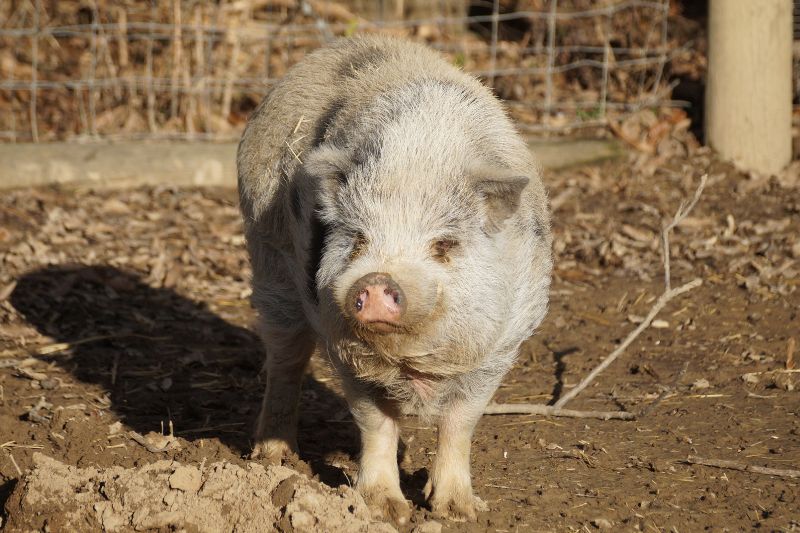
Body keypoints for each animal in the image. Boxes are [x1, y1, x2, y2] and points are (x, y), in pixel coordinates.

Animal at [237, 35, 552, 523]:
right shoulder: (347, 352)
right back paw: (273, 458)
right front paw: (386, 510)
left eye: (444, 245)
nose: (378, 281)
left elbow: (460, 422)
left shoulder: (500, 348)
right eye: (359, 239)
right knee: (285, 360)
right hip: (268, 257)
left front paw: (459, 511)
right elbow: (375, 422)